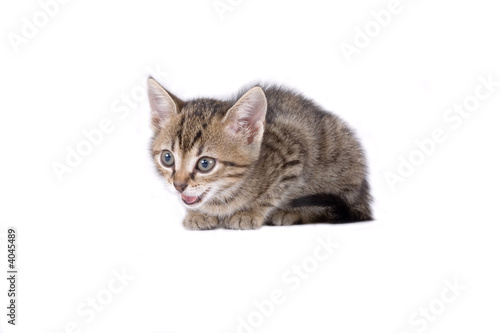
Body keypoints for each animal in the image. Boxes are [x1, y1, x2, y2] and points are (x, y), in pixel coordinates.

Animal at [148, 77, 372, 228]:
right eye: (167, 158)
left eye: (205, 164)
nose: (178, 185)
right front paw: (198, 214)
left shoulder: (294, 152)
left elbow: (274, 192)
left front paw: (249, 213)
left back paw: (293, 214)